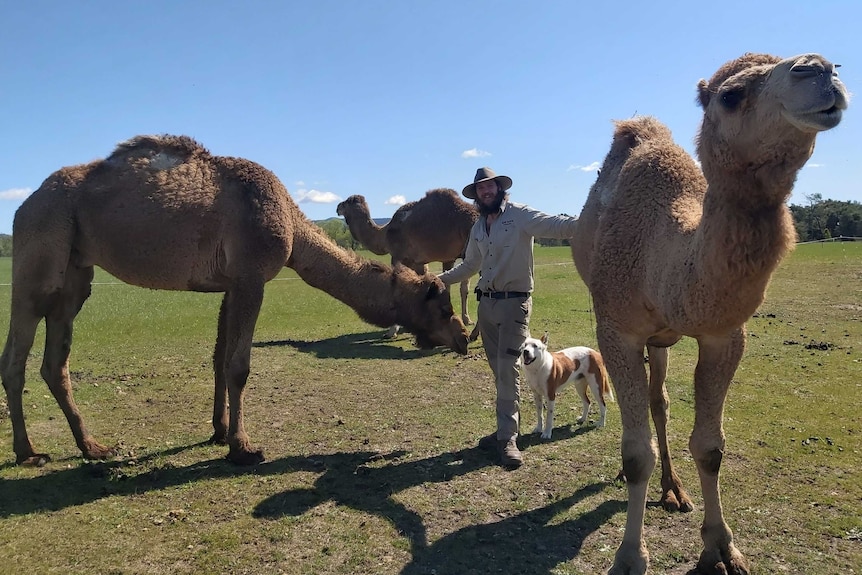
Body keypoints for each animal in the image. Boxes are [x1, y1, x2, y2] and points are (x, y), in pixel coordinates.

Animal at [338, 189, 482, 336]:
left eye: (347, 202)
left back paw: (474, 333)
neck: (384, 234)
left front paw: (392, 331)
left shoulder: (398, 256)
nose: (338, 207)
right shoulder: (423, 262)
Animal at [572, 54, 852, 575]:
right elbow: (635, 452)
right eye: (731, 95)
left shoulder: (724, 334)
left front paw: (722, 549)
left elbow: (710, 446)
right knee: (649, 411)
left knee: (659, 402)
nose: (820, 69)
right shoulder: (616, 329)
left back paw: (674, 491)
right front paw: (629, 556)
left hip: (663, 340)